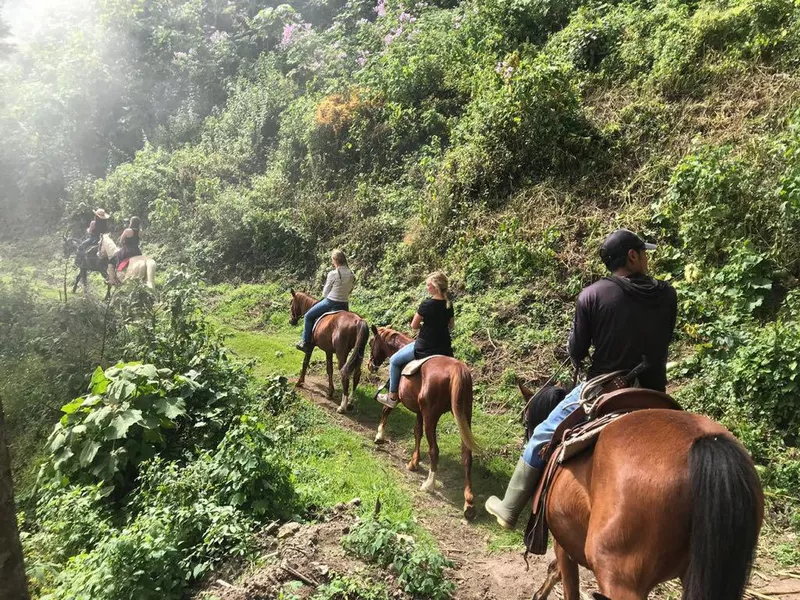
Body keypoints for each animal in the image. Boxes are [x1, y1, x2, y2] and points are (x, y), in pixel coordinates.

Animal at [370, 324, 478, 520]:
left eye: (371, 342)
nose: (370, 365)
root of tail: (457, 369)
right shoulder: (419, 411)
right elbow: (416, 432)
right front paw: (414, 462)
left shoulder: (400, 398)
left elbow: (386, 409)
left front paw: (379, 436)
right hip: (464, 416)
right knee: (467, 456)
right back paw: (469, 503)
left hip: (431, 416)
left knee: (434, 450)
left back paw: (429, 485)